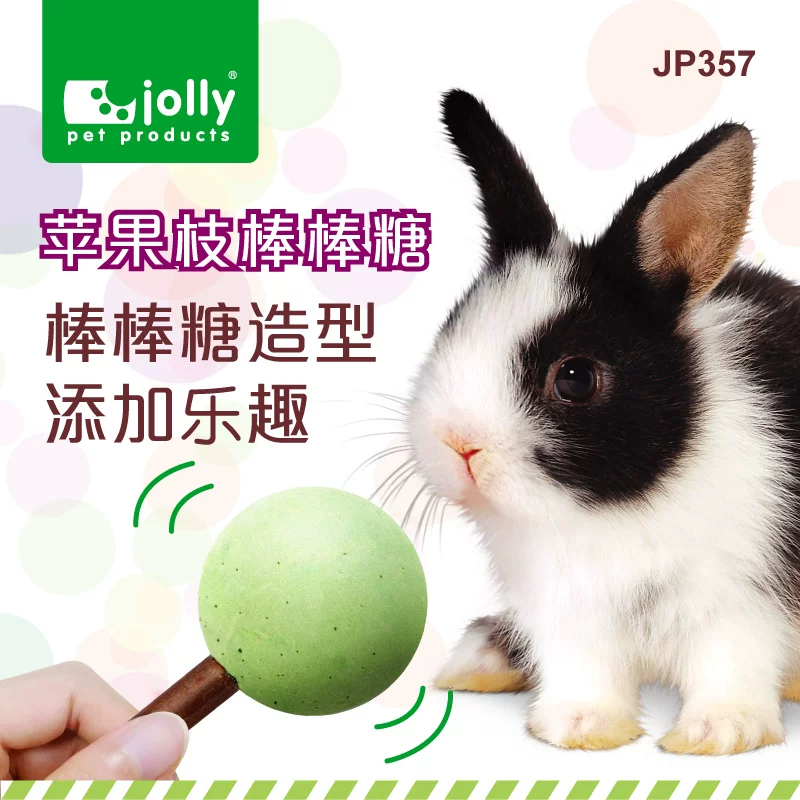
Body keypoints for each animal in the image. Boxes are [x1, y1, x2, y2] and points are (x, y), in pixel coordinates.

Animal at [406, 89, 800, 755]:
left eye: (575, 378)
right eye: (450, 328)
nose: (459, 444)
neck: (610, 511)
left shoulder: (740, 597)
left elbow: (729, 663)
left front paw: (718, 735)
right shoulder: (563, 606)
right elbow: (581, 668)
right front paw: (582, 729)